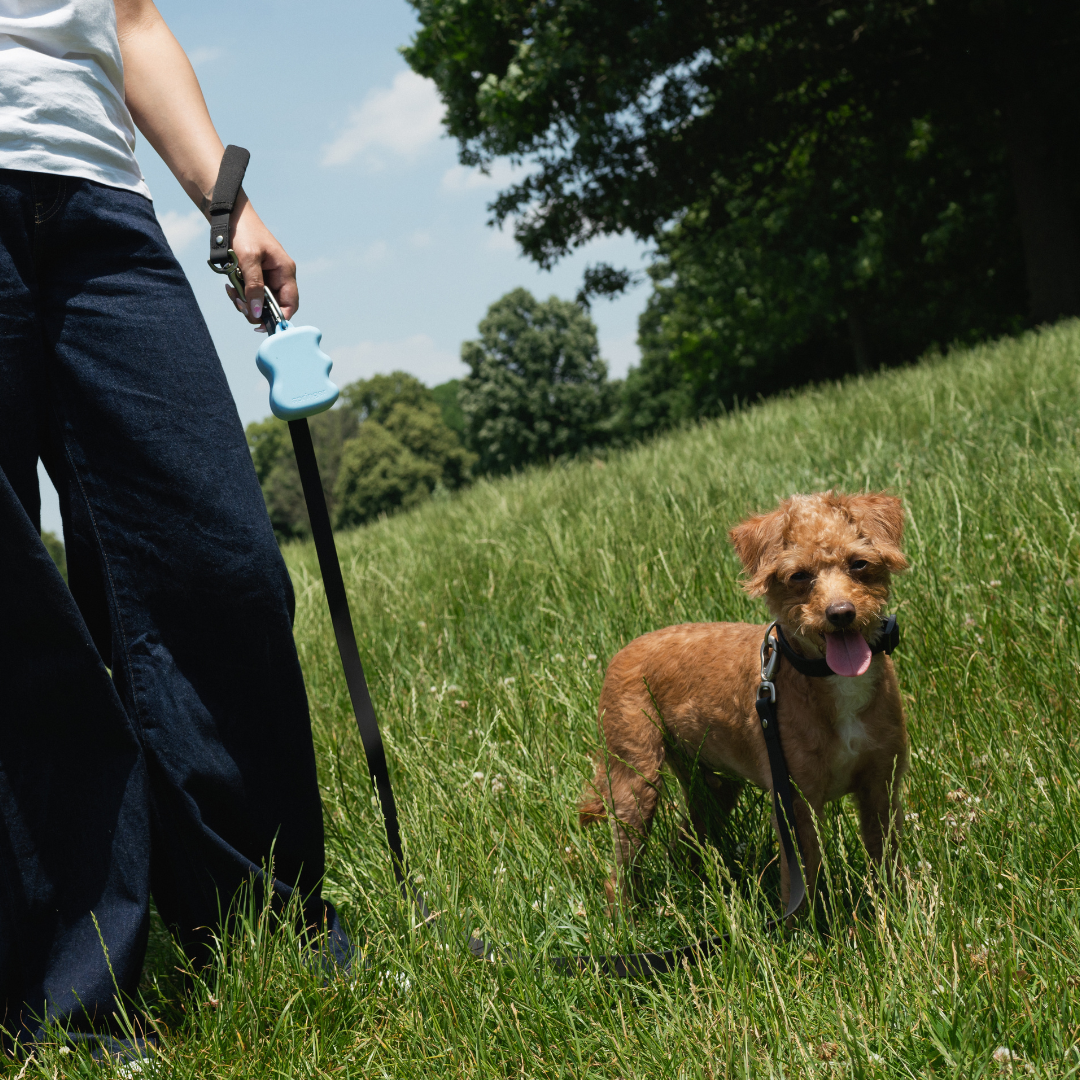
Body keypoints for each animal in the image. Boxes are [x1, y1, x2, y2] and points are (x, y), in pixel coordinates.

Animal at [578, 490, 907, 911]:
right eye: (799, 576)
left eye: (859, 564)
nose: (840, 613)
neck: (828, 679)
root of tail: (622, 652)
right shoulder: (795, 805)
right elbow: (801, 888)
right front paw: (809, 929)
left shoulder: (881, 787)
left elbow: (887, 866)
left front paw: (897, 913)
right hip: (636, 782)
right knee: (619, 873)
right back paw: (626, 919)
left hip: (713, 787)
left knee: (686, 842)